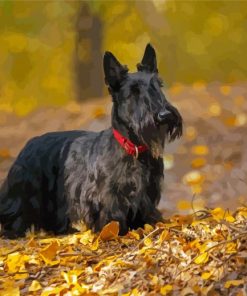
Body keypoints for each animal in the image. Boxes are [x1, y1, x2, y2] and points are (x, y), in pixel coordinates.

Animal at [0, 44, 181, 238]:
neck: (133, 148)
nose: (164, 115)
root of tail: (28, 144)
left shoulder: (147, 196)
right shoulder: (108, 197)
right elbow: (112, 218)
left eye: (158, 85)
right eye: (133, 92)